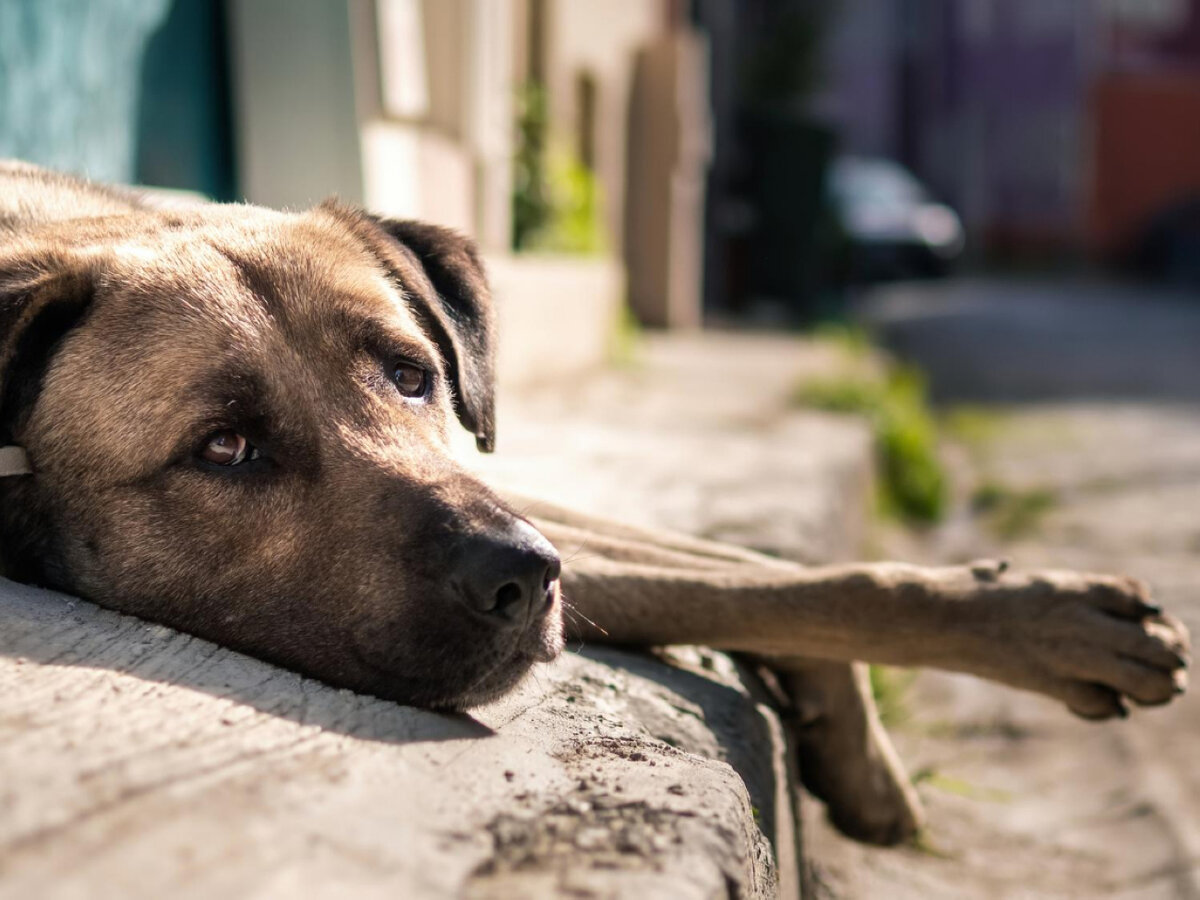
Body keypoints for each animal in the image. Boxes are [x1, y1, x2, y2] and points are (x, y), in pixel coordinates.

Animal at [0, 165, 1185, 849]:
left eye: (411, 374)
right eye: (226, 447)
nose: (524, 579)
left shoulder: (510, 489)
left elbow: (758, 572)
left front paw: (1026, 622)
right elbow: (755, 583)